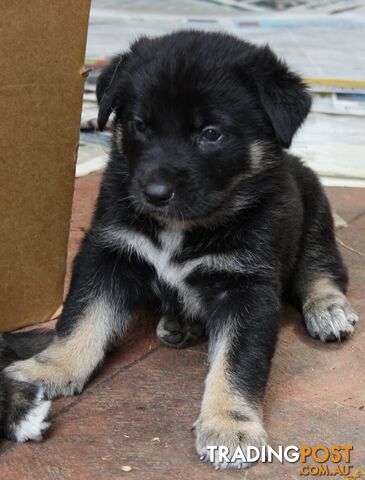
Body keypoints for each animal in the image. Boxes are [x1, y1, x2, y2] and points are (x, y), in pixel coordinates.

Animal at [1, 31, 356, 468]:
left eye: (211, 133)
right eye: (139, 125)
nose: (154, 194)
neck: (182, 228)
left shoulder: (248, 286)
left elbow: (238, 362)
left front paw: (229, 426)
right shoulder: (109, 252)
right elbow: (82, 319)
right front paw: (48, 370)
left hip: (315, 214)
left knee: (322, 269)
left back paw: (328, 309)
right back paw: (178, 323)